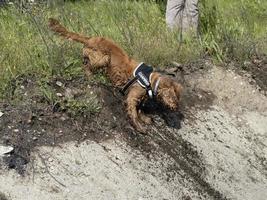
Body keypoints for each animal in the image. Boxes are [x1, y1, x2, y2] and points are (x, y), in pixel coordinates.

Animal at [48, 17, 182, 133]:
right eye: (174, 97)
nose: (176, 107)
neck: (150, 80)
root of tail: (90, 38)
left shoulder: (140, 98)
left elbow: (139, 110)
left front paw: (145, 119)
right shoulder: (133, 96)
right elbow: (133, 112)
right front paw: (139, 127)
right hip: (104, 58)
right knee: (86, 66)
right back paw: (91, 77)